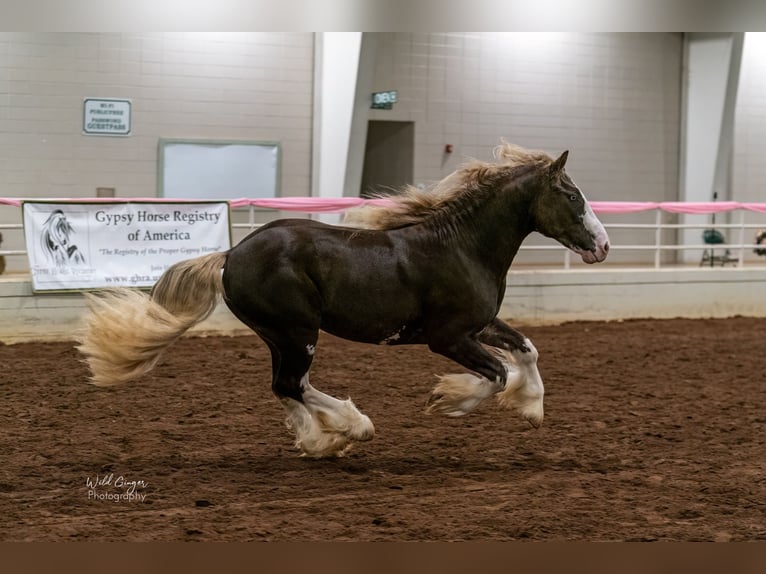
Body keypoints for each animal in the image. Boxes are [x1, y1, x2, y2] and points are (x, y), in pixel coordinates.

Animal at [79, 143, 612, 460]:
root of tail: (230, 255)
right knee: (292, 383)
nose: (603, 246)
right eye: (570, 194)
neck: (461, 246)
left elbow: (526, 350)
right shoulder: (448, 337)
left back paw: (321, 440)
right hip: (297, 332)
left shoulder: (480, 324)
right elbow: (497, 373)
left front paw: (532, 408)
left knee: (286, 386)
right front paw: (449, 402)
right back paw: (353, 428)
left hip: (280, 335)